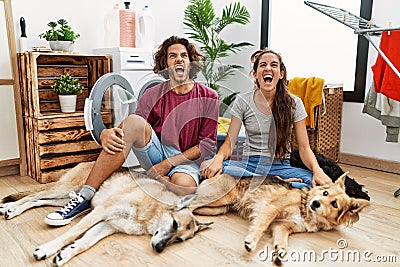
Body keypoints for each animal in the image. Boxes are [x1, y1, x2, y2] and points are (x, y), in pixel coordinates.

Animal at [0, 162, 212, 266]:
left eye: (179, 240)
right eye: (175, 224)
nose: (159, 249)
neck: (153, 210)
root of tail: (89, 161)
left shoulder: (106, 226)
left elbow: (83, 243)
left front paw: (66, 254)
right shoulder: (100, 212)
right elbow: (71, 234)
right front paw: (48, 248)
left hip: (63, 198)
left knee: (37, 200)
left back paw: (12, 208)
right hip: (66, 189)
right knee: (33, 195)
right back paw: (10, 207)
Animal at [191, 174, 368, 266]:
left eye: (335, 204)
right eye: (325, 193)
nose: (315, 203)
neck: (306, 209)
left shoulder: (282, 226)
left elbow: (282, 240)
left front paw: (280, 252)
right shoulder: (271, 207)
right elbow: (261, 226)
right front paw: (251, 242)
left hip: (219, 208)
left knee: (194, 208)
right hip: (219, 197)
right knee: (190, 204)